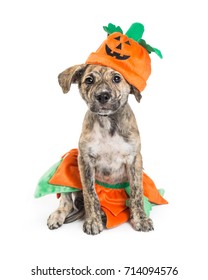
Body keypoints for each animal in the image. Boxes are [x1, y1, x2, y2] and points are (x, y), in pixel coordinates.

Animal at [47, 64, 154, 235]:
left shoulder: (134, 159)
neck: (107, 122)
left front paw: (141, 219)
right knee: (66, 200)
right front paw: (92, 221)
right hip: (68, 161)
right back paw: (57, 215)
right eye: (89, 80)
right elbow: (90, 194)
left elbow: (137, 191)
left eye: (116, 78)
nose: (103, 96)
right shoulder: (85, 160)